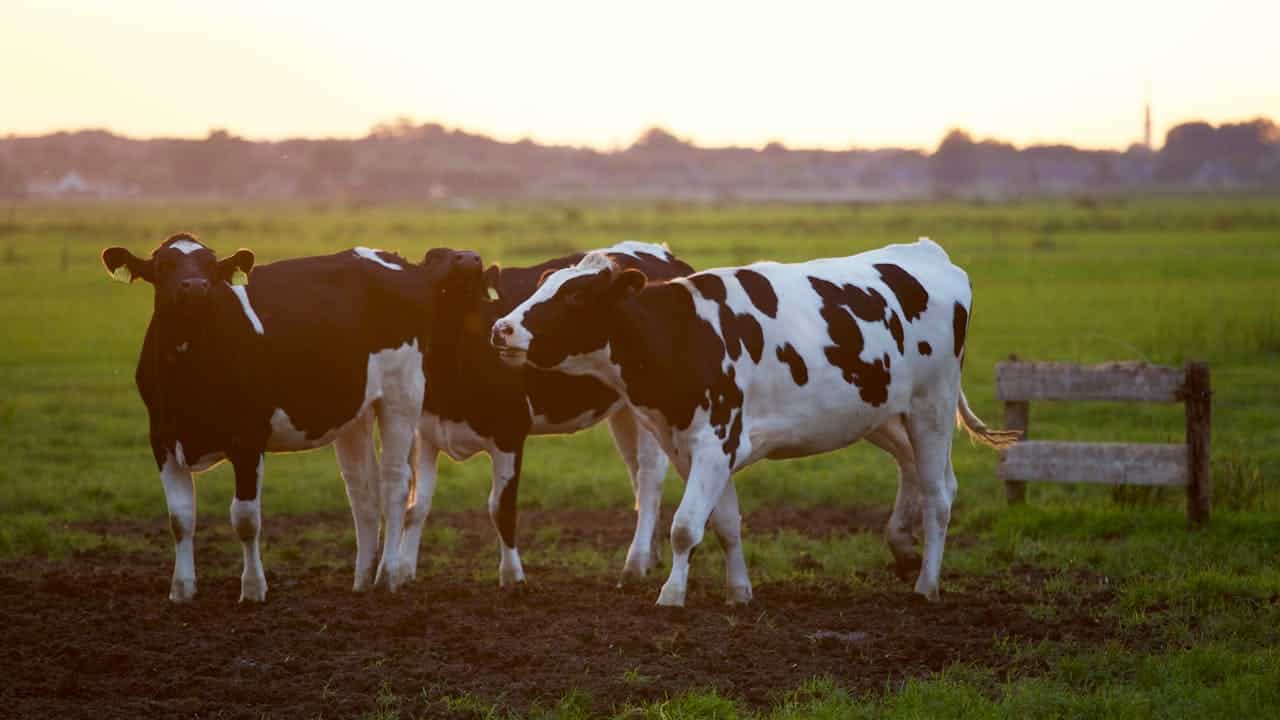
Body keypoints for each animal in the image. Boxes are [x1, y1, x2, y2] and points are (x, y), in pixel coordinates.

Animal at [101, 233, 460, 602]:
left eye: (211, 267)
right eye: (164, 266)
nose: (197, 286)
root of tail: (399, 261)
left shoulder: (247, 438)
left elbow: (245, 519)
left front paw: (252, 589)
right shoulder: (161, 439)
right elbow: (180, 518)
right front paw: (182, 590)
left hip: (401, 395)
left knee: (395, 483)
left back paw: (387, 576)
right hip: (355, 412)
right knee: (363, 490)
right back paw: (361, 580)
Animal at [402, 242, 695, 587]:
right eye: (433, 257)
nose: (470, 258)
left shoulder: (510, 433)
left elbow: (501, 508)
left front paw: (513, 577)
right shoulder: (426, 433)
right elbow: (417, 506)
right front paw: (400, 572)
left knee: (649, 478)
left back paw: (634, 564)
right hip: (625, 411)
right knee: (636, 472)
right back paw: (650, 556)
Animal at [490, 238, 1018, 606]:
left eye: (575, 298)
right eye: (542, 286)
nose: (501, 328)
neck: (683, 333)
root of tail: (928, 253)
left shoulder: (715, 441)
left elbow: (685, 527)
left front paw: (671, 595)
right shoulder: (696, 447)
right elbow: (724, 523)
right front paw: (738, 591)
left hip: (932, 406)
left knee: (939, 496)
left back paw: (927, 584)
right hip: (882, 413)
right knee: (919, 472)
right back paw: (904, 549)